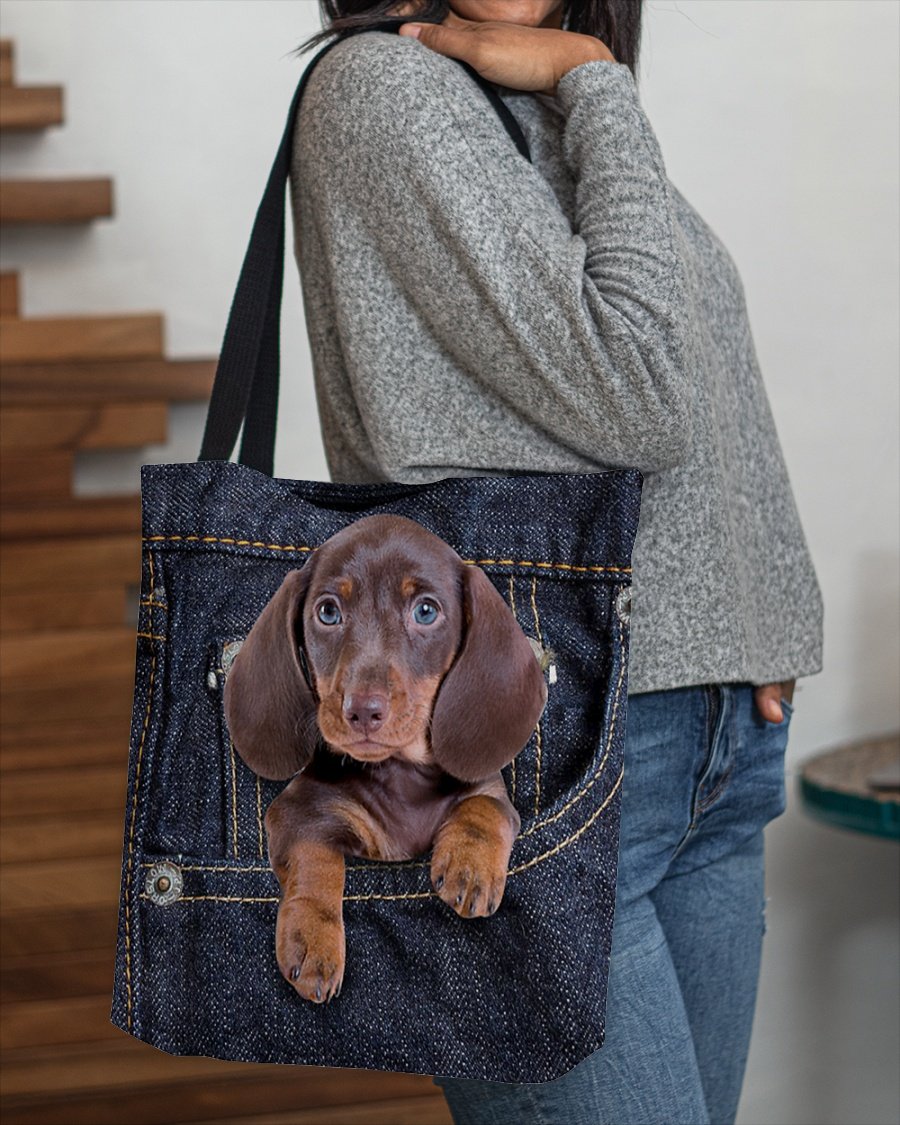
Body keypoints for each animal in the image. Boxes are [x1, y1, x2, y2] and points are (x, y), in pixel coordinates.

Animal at [225, 515, 549, 1008]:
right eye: (327, 612)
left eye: (426, 611)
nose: (362, 710)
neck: (402, 777)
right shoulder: (299, 812)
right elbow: (315, 863)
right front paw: (314, 939)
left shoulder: (490, 790)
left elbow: (484, 809)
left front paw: (470, 865)